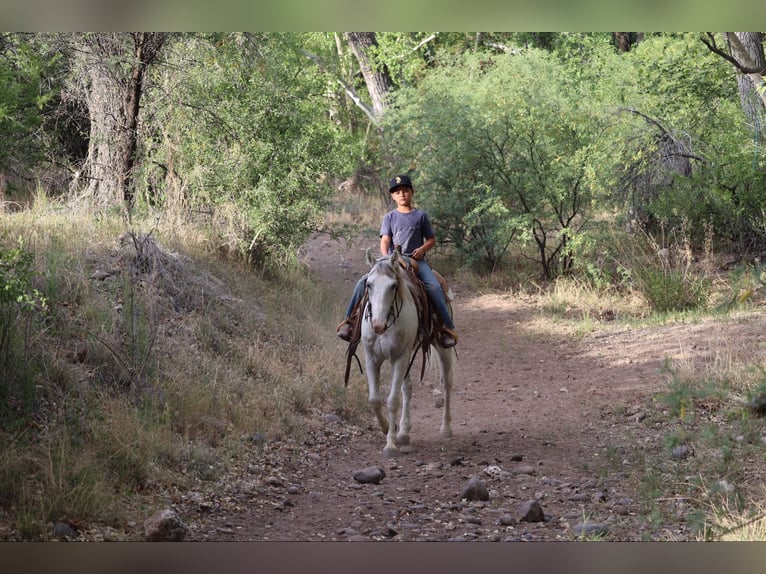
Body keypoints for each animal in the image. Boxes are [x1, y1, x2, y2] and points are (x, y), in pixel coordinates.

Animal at [359, 248, 455, 456]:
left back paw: (446, 428)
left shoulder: (399, 358)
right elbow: (374, 400)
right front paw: (388, 428)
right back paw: (403, 432)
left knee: (446, 383)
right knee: (408, 388)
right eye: (368, 284)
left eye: (393, 286)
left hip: (442, 349)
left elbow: (393, 401)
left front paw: (390, 445)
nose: (377, 325)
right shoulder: (372, 359)